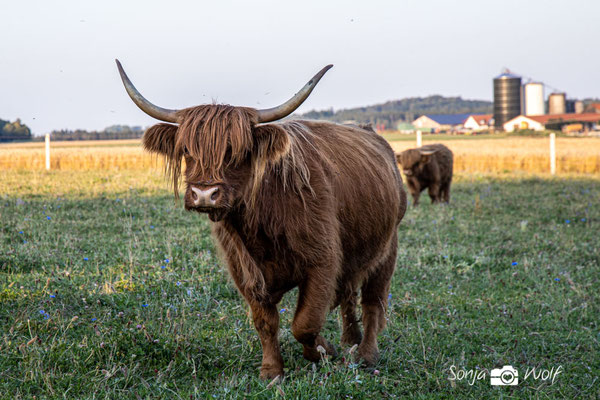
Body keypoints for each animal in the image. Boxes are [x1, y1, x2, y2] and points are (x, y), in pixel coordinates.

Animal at [116, 61, 408, 380]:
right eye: (187, 151)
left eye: (236, 151)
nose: (204, 194)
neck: (260, 225)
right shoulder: (244, 269)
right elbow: (265, 322)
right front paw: (272, 371)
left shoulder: (323, 260)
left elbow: (305, 322)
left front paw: (321, 350)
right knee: (348, 296)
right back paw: (349, 340)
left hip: (388, 247)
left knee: (372, 301)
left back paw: (366, 355)